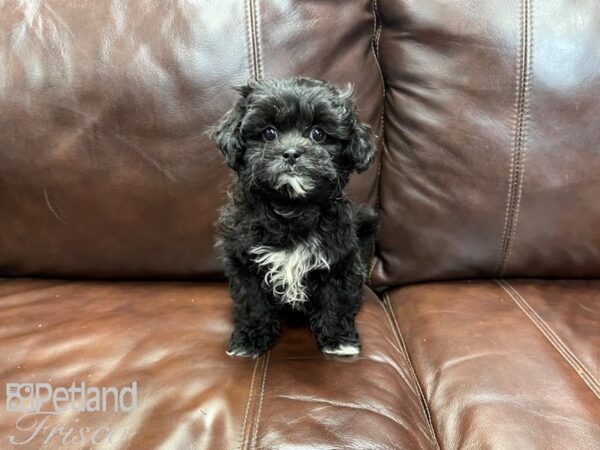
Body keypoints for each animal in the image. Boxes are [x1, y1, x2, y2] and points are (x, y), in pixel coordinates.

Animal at [213, 77, 378, 358]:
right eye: (269, 133)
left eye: (318, 134)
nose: (291, 153)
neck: (291, 209)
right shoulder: (244, 262)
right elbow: (253, 305)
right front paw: (250, 341)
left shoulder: (340, 260)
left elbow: (336, 301)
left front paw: (338, 340)